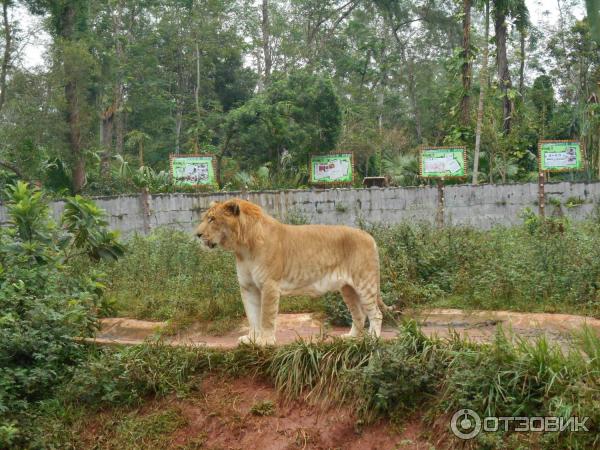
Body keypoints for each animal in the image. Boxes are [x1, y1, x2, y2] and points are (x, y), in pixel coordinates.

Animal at [197, 199, 384, 346]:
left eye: (212, 219)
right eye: (205, 218)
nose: (197, 234)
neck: (243, 249)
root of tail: (370, 237)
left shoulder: (269, 285)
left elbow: (266, 316)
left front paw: (265, 341)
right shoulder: (248, 287)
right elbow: (252, 316)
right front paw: (252, 339)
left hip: (365, 283)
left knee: (376, 313)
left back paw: (372, 339)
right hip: (347, 288)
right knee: (359, 314)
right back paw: (351, 337)